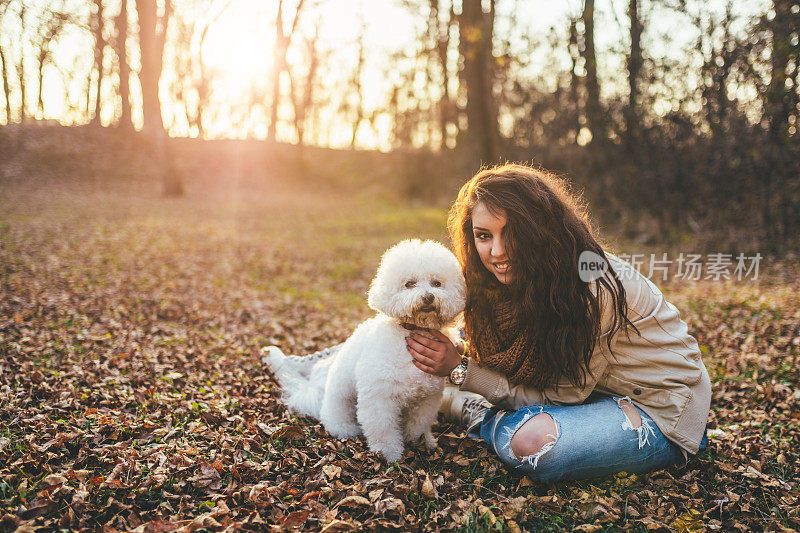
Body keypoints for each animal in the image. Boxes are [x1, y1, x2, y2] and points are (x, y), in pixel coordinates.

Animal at [260, 239, 466, 460]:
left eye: (437, 283)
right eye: (409, 283)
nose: (428, 297)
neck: (412, 330)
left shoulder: (427, 399)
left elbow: (418, 423)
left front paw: (419, 441)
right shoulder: (378, 396)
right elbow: (383, 430)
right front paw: (389, 455)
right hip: (341, 401)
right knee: (334, 419)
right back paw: (345, 429)